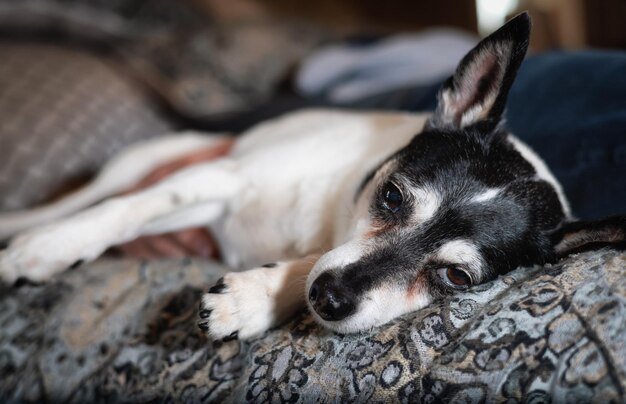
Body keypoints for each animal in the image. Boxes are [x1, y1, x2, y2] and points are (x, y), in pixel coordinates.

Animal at [1, 12, 624, 340]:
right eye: (391, 197)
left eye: (456, 278)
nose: (329, 299)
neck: (321, 220)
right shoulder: (220, 179)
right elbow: (131, 208)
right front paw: (46, 252)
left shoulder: (325, 252)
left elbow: (319, 260)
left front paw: (252, 296)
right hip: (151, 159)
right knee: (88, 200)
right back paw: (31, 233)